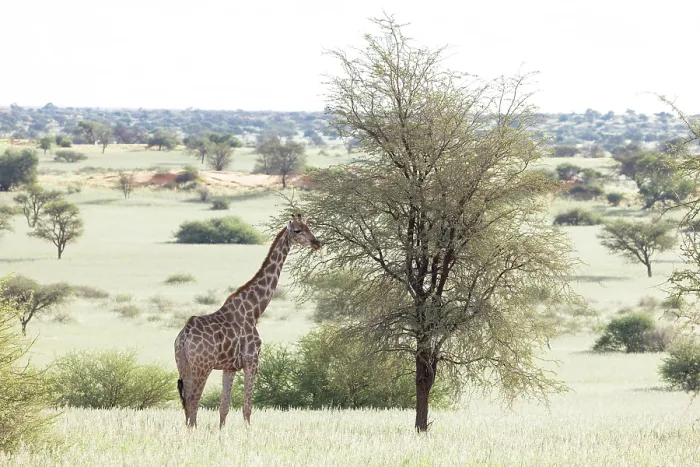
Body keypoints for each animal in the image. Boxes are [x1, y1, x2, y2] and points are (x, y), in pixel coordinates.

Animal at [174, 214, 321, 428]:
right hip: (202, 366)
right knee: (193, 401)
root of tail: (184, 337)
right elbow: (247, 408)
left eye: (309, 227)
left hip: (183, 364)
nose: (317, 242)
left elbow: (224, 408)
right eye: (297, 230)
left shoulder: (230, 367)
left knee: (186, 403)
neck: (254, 311)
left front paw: (222, 432)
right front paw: (248, 432)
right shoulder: (252, 361)